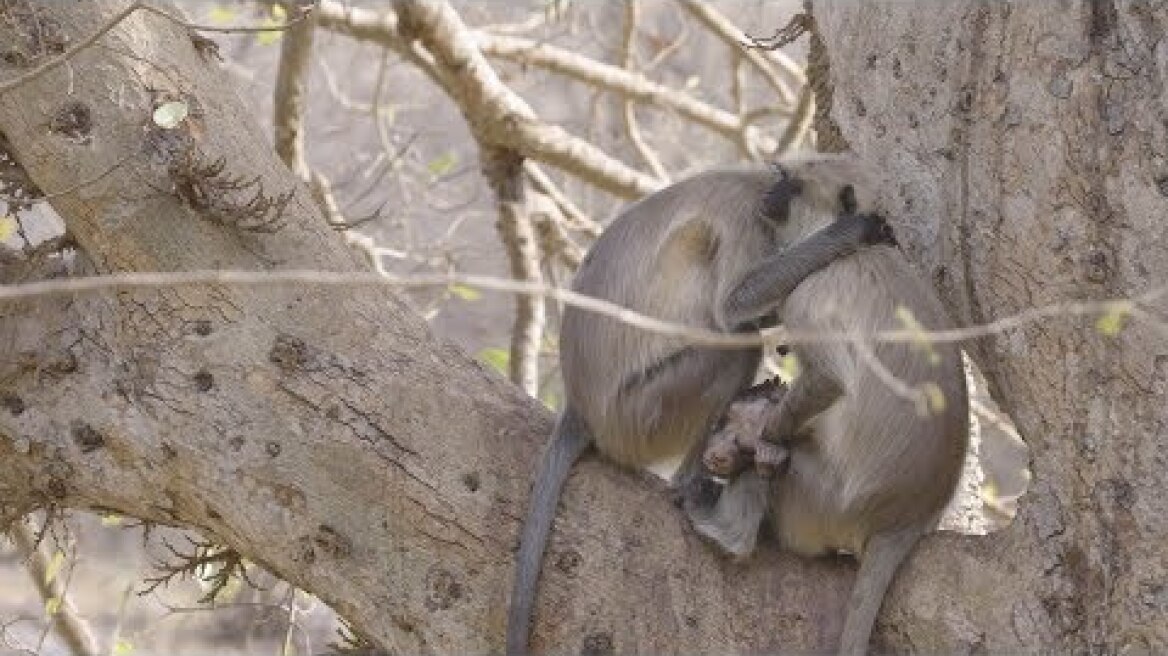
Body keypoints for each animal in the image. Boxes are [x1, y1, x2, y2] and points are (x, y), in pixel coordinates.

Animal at [507, 157, 897, 655]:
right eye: (784, 179)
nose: (773, 194)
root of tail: (579, 404)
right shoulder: (748, 219)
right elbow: (736, 303)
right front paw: (852, 232)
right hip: (642, 413)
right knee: (736, 345)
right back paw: (691, 485)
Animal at [682, 163, 969, 656]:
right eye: (782, 177)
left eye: (794, 185)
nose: (772, 192)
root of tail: (908, 516)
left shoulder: (812, 292)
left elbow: (830, 378)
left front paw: (758, 429)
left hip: (822, 503)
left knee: (768, 465)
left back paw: (729, 526)